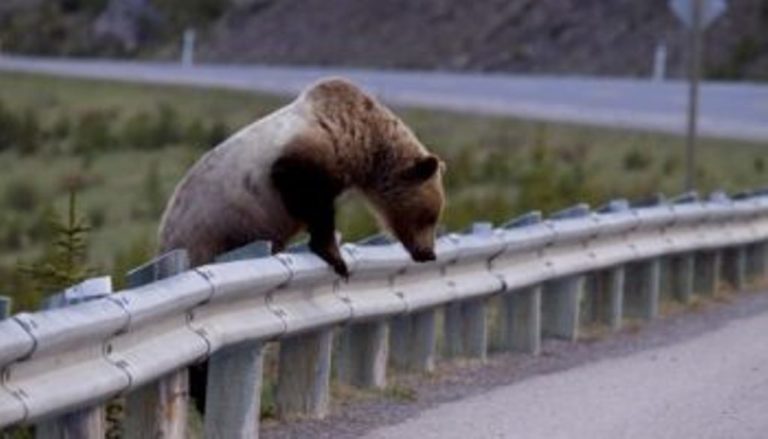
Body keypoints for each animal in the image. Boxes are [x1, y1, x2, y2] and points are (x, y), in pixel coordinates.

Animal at [159, 75, 448, 276]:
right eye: (429, 216)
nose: (428, 253)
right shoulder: (305, 154)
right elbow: (308, 196)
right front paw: (335, 257)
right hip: (210, 231)